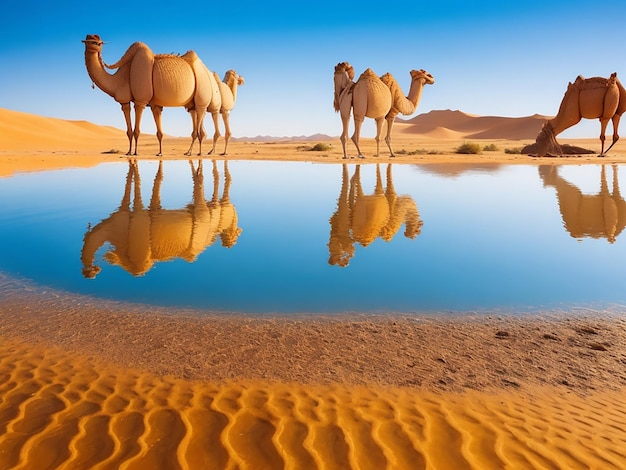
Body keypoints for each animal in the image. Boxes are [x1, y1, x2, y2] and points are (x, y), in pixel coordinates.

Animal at [81, 35, 221, 156]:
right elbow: (137, 131)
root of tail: (208, 71)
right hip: (192, 104)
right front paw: (154, 153)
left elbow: (136, 131)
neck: (123, 76)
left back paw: (195, 153)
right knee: (198, 121)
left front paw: (135, 153)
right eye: (87, 40)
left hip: (203, 92)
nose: (89, 41)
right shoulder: (134, 103)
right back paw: (192, 152)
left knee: (200, 124)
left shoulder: (140, 101)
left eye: (97, 43)